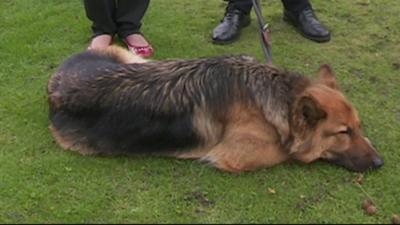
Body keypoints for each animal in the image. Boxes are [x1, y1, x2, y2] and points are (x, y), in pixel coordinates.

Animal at [47, 46, 384, 172]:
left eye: (359, 127)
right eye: (343, 132)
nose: (380, 162)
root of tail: (57, 79)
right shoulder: (235, 155)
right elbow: (290, 152)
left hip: (133, 58)